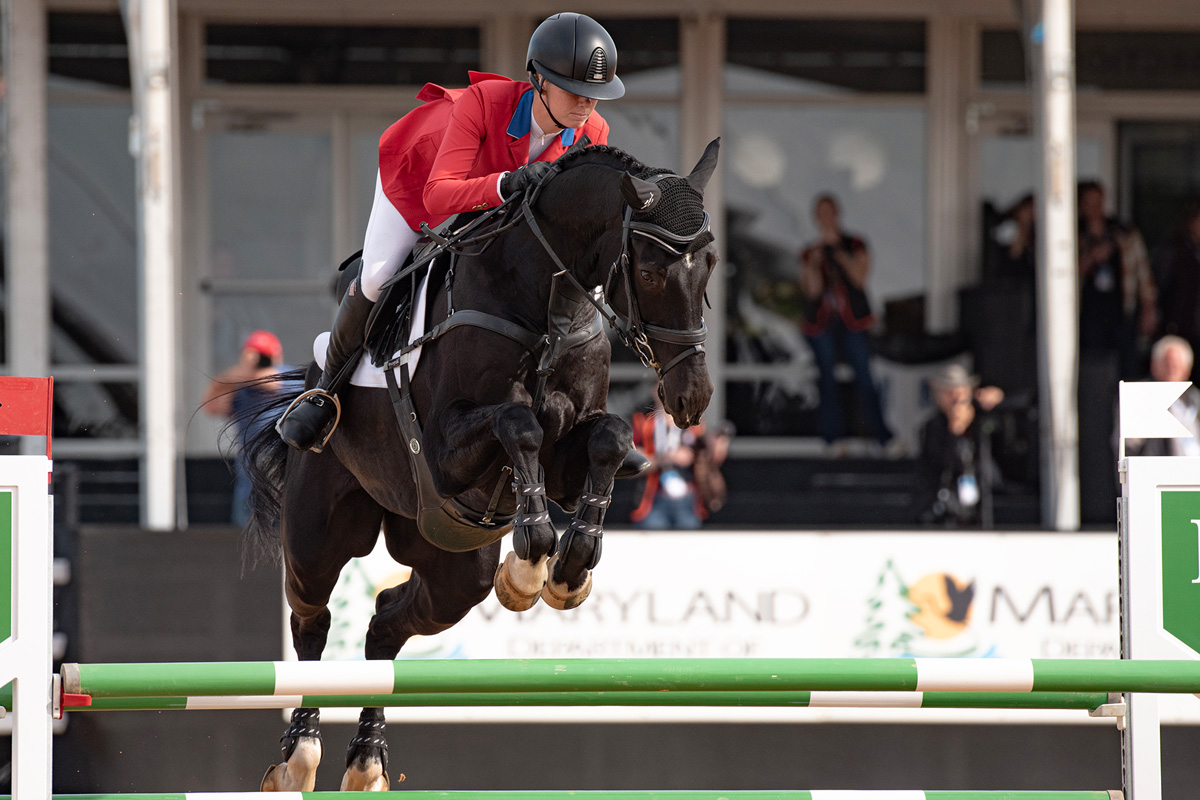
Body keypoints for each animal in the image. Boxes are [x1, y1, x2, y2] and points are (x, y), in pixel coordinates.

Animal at [238, 139, 720, 792]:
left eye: (710, 265)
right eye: (647, 272)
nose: (692, 397)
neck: (547, 303)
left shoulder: (568, 460)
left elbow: (609, 437)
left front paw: (569, 565)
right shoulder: (444, 450)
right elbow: (518, 422)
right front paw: (534, 551)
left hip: (452, 570)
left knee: (386, 622)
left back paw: (367, 762)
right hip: (320, 534)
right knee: (312, 618)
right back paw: (299, 758)